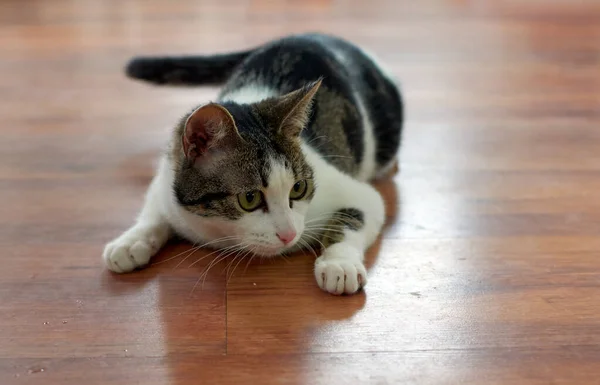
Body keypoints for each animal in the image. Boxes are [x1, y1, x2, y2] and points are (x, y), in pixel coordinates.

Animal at [103, 33, 404, 296]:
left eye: (299, 188)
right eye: (249, 198)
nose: (289, 235)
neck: (218, 232)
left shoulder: (355, 193)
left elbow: (356, 215)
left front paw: (339, 263)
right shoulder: (166, 180)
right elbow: (154, 210)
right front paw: (131, 241)